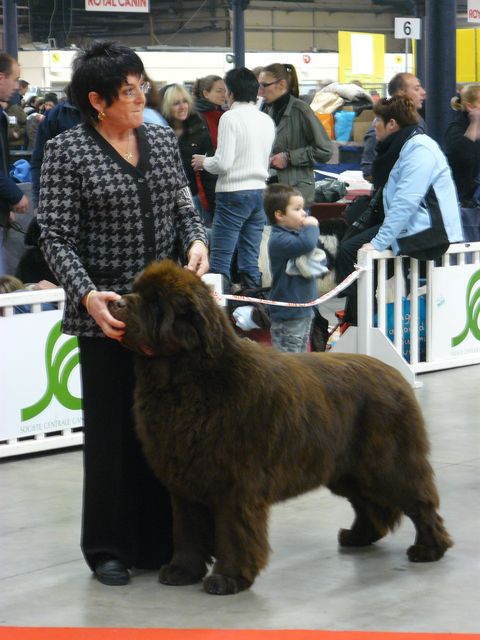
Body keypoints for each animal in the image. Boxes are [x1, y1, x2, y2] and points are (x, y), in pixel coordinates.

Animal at [109, 258, 454, 596]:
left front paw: (228, 578)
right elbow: (187, 529)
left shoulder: (235, 483)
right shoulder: (183, 478)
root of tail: (395, 373)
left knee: (419, 501)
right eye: (136, 292)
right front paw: (182, 571)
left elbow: (233, 532)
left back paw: (430, 548)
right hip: (345, 468)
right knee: (369, 503)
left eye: (156, 303)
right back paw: (359, 536)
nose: (116, 303)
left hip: (388, 463)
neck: (185, 382)